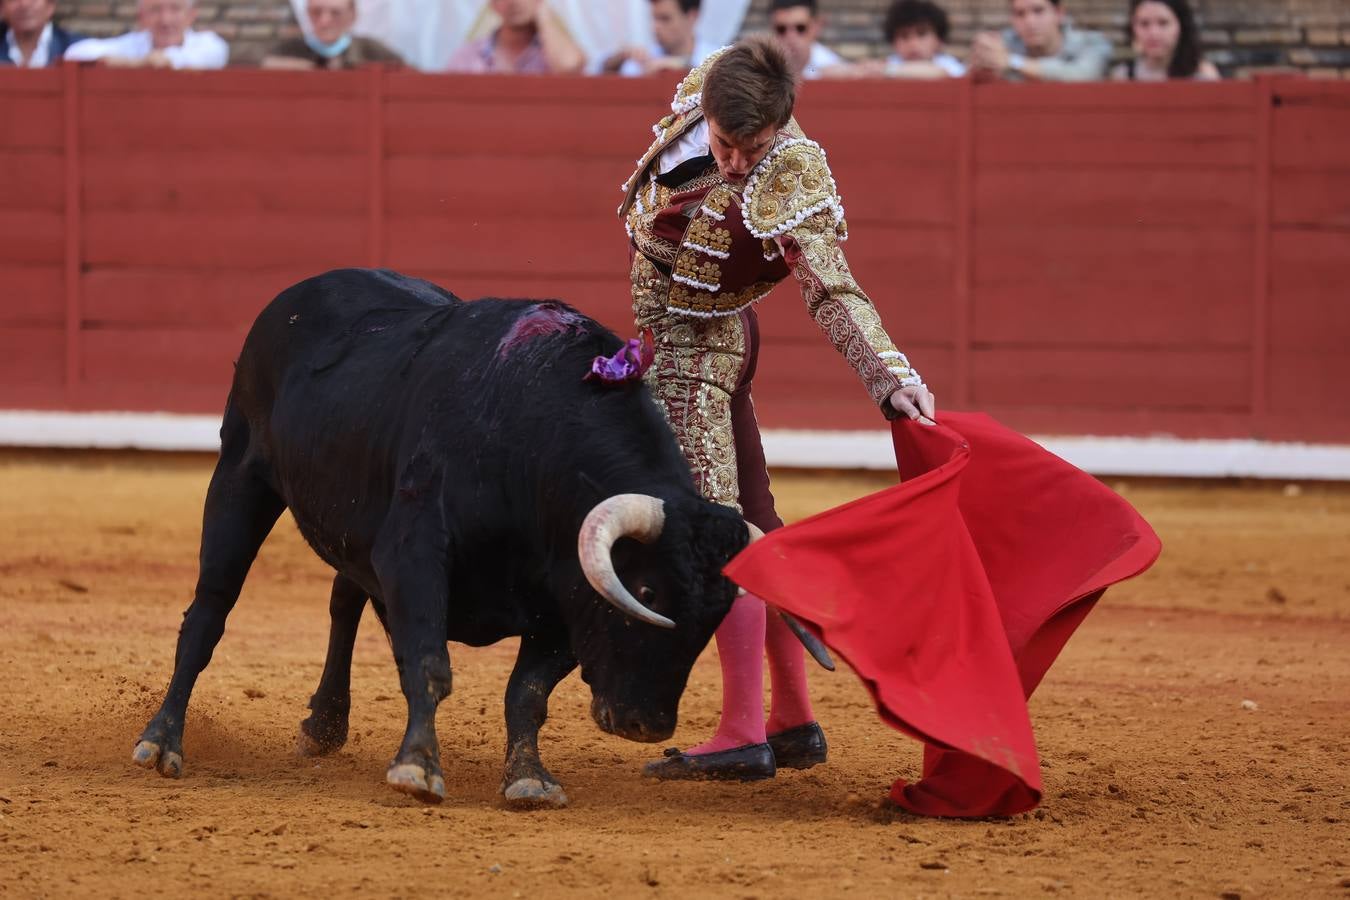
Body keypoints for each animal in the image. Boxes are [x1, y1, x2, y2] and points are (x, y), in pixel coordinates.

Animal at [130, 267, 756, 809]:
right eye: (647, 594)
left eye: (715, 617)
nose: (647, 725)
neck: (534, 442)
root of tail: (301, 291)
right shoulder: (415, 552)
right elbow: (430, 664)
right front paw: (417, 767)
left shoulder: (566, 596)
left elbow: (526, 691)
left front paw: (529, 779)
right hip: (240, 478)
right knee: (209, 611)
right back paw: (161, 741)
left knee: (344, 601)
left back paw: (324, 724)